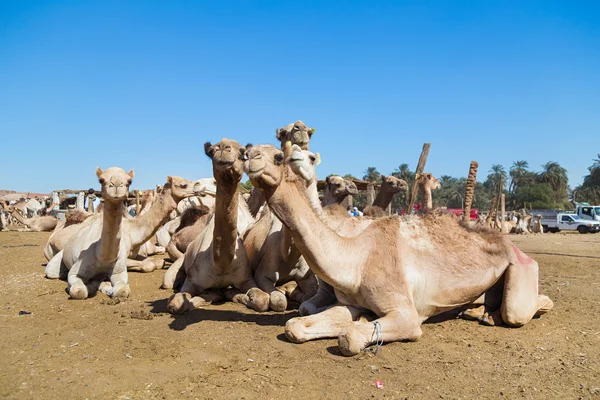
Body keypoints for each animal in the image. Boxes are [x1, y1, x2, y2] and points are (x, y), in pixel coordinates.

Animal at [166, 139, 270, 314]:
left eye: (243, 153)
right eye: (211, 151)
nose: (223, 147)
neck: (221, 263)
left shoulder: (246, 279)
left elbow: (263, 300)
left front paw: (239, 295)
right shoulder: (192, 281)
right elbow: (176, 303)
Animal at [241, 144, 322, 312]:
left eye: (312, 158)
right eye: (286, 158)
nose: (249, 155)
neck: (290, 257)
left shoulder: (307, 276)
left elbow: (310, 294)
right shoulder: (263, 274)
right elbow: (279, 302)